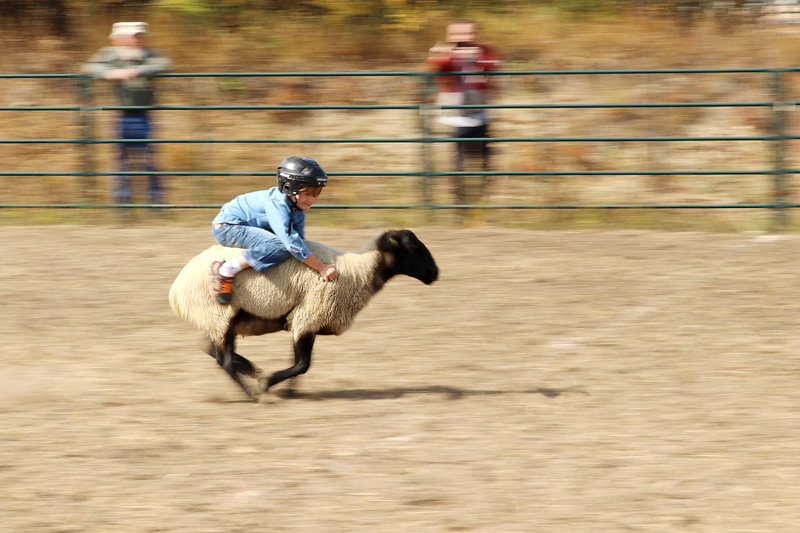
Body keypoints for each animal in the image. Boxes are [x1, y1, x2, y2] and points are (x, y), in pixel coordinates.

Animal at [168, 227, 438, 396]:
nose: (435, 273)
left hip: (222, 320)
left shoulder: (305, 321)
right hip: (219, 314)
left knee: (213, 349)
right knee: (223, 359)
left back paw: (248, 367)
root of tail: (176, 290)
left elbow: (297, 361)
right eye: (412, 245)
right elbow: (303, 364)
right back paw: (252, 392)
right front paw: (267, 384)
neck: (358, 272)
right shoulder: (309, 316)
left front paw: (289, 391)